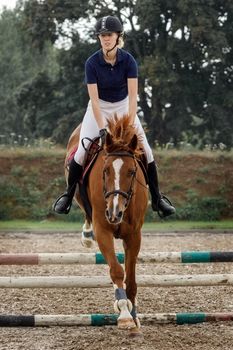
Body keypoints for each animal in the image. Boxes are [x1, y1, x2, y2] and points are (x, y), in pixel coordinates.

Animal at [64, 116, 147, 334]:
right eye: (105, 170)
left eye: (132, 171)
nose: (114, 212)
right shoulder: (103, 231)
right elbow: (117, 270)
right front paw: (125, 314)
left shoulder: (134, 235)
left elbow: (130, 279)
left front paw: (133, 314)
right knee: (85, 212)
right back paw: (86, 236)